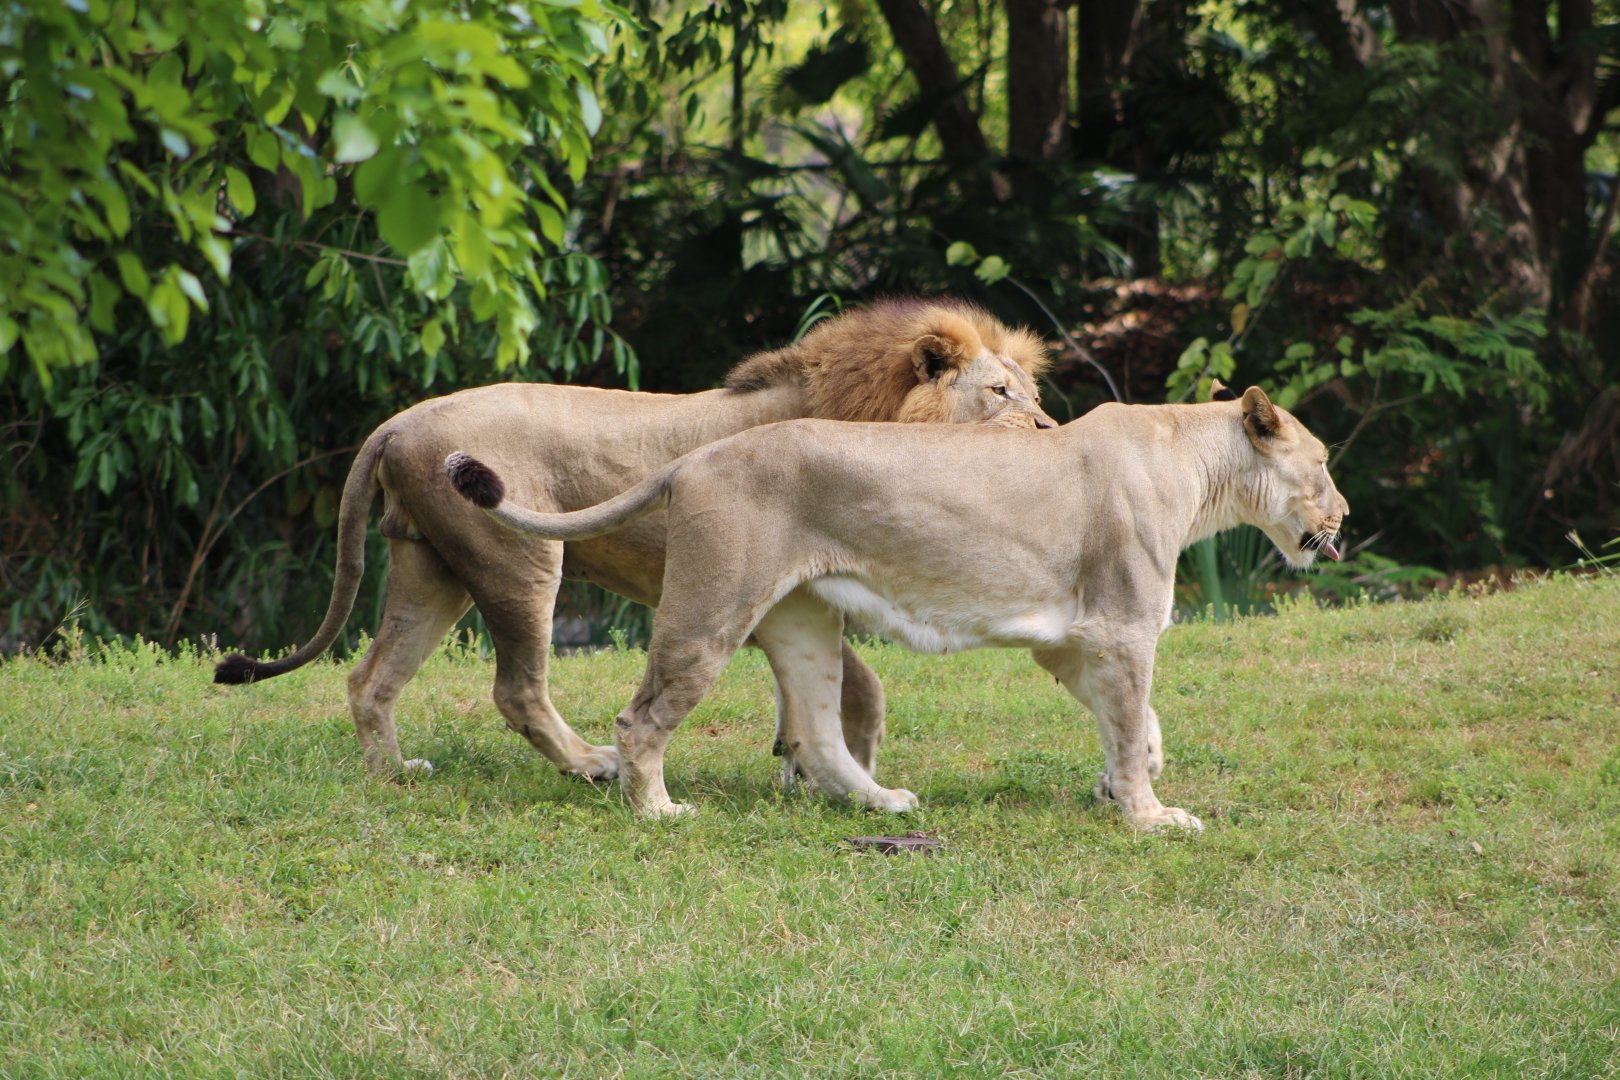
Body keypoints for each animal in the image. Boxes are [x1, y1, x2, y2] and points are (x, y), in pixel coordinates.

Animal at [214, 299, 1055, 781]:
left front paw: (803, 763)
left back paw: (393, 774)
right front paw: (832, 767)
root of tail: (396, 424)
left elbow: (843, 685)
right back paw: (594, 765)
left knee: (371, 678)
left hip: (433, 569)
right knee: (517, 688)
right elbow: (858, 685)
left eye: (1032, 391)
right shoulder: (761, 583)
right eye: (1000, 392)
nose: (1052, 429)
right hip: (520, 559)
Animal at [443, 381, 1348, 830]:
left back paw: (884, 803)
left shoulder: (1071, 639)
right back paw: (659, 811)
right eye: (1325, 462)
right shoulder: (1121, 625)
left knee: (817, 733)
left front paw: (1129, 785)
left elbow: (1135, 723)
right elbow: (1129, 724)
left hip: (803, 620)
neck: (1199, 469)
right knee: (642, 718)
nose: (1345, 516)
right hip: (712, 607)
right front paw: (1149, 815)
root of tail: (696, 457)